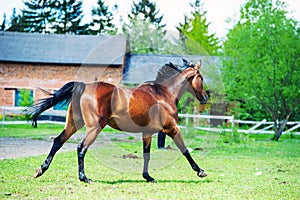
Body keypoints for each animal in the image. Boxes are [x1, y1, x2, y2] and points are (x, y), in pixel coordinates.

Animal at [25, 58, 207, 183]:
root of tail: (84, 86)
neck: (163, 94)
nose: (205, 98)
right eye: (202, 78)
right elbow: (185, 150)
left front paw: (148, 177)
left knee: (58, 141)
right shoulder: (171, 128)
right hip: (94, 127)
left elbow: (146, 154)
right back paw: (84, 178)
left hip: (74, 124)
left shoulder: (147, 132)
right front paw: (200, 171)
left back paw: (40, 170)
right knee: (81, 148)